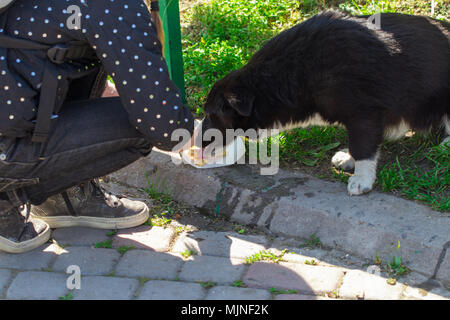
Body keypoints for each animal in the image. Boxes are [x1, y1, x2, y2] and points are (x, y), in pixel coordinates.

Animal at [202, 10, 448, 195]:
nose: (197, 143)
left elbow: (362, 147)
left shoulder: (364, 114)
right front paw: (349, 159)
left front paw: (362, 178)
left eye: (213, 115)